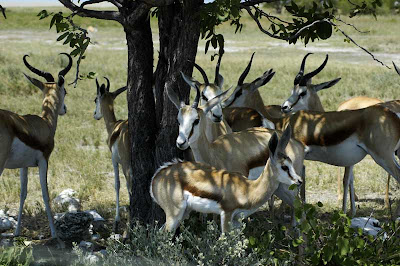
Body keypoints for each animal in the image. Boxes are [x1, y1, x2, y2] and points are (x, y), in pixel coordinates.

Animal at [0, 52, 72, 237]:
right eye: (65, 90)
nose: (64, 109)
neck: (44, 123)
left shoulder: (23, 166)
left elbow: (23, 194)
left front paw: (17, 232)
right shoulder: (44, 161)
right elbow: (45, 194)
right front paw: (54, 233)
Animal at [152, 125, 302, 234]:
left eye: (290, 162)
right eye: (284, 166)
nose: (299, 181)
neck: (248, 188)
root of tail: (159, 175)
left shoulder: (237, 221)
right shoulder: (227, 215)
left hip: (184, 213)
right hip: (174, 215)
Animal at [167, 82, 304, 224]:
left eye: (196, 120)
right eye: (178, 120)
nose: (181, 142)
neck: (215, 152)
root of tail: (296, 143)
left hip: (289, 188)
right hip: (279, 188)